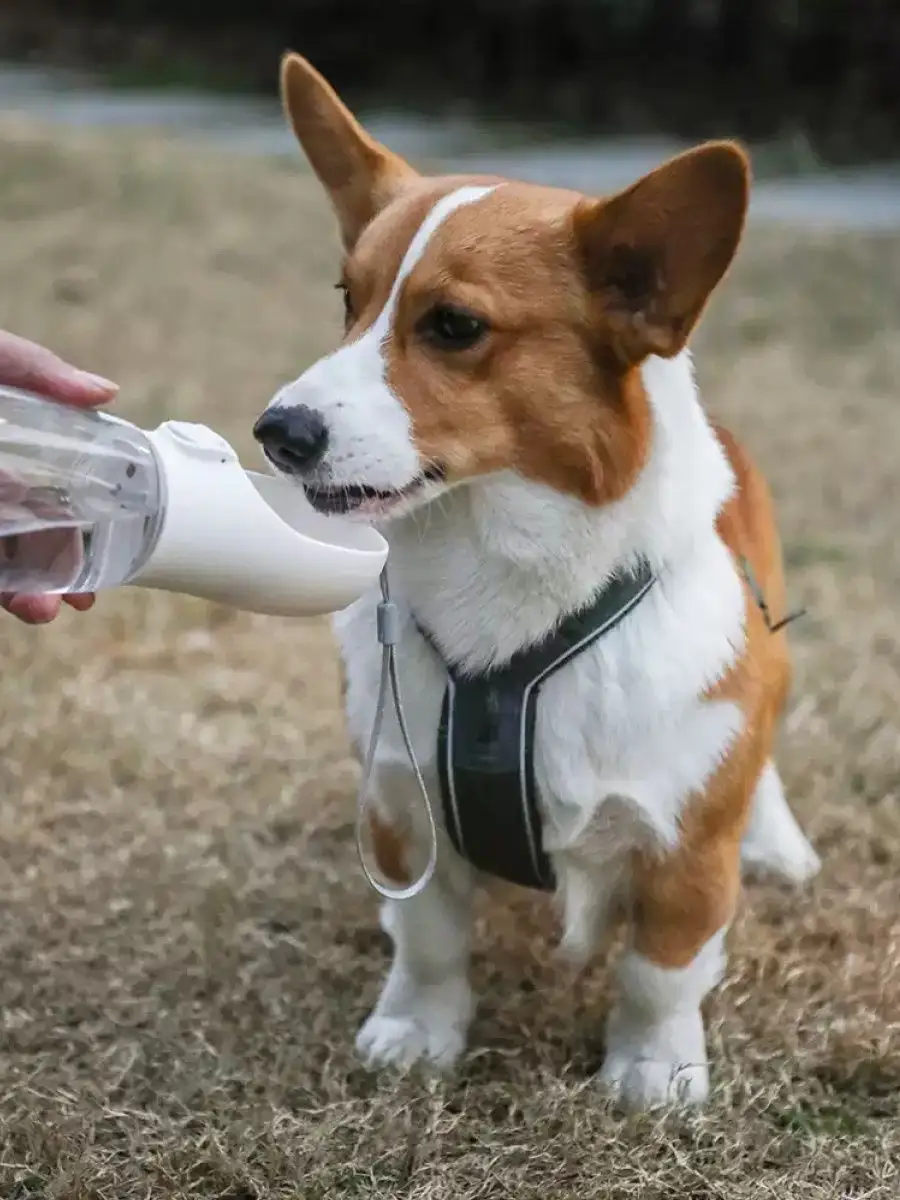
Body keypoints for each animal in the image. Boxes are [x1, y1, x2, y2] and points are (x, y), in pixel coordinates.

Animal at [254, 54, 825, 1104]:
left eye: (454, 325)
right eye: (347, 298)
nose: (278, 431)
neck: (501, 576)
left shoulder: (686, 854)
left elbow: (660, 971)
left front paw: (653, 1074)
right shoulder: (402, 813)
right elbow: (428, 944)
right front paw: (417, 1034)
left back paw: (779, 847)